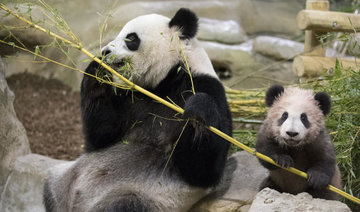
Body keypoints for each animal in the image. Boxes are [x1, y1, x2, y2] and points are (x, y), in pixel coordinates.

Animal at [43, 7, 233, 210]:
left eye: (130, 38)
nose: (105, 51)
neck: (163, 83)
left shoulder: (204, 85)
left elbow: (202, 170)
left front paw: (197, 115)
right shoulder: (129, 98)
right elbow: (101, 137)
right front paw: (98, 72)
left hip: (139, 197)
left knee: (123, 204)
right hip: (62, 179)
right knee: (50, 189)